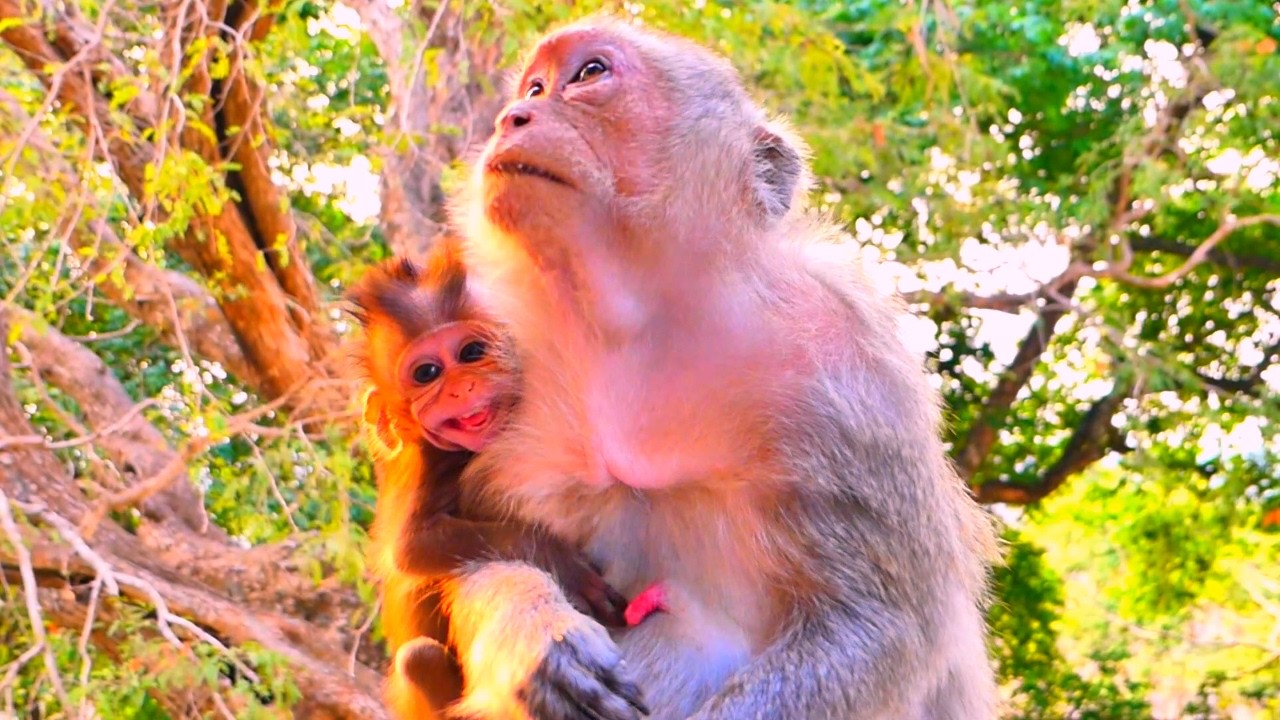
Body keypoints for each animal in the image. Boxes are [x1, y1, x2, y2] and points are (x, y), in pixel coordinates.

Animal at [344, 239, 642, 719]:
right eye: (427, 373)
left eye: (471, 353)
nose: (462, 387)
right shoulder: (429, 463)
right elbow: (413, 547)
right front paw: (567, 566)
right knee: (418, 658)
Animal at [430, 15, 1001, 720]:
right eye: (534, 87)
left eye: (589, 74)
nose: (512, 116)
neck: (641, 325)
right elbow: (476, 545)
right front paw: (539, 640)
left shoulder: (850, 376)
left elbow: (881, 625)